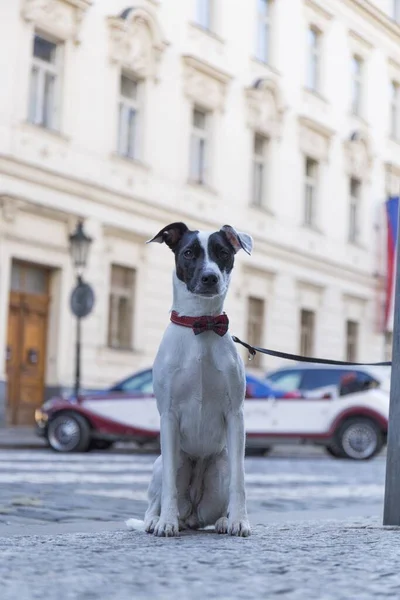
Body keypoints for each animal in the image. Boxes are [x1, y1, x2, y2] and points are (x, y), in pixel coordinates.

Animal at [141, 223, 252, 536]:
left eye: (223, 253)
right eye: (189, 253)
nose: (210, 277)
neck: (201, 325)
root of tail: (192, 513)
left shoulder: (235, 415)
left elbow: (240, 482)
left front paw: (239, 520)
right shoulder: (168, 416)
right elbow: (168, 487)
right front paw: (166, 522)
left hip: (221, 464)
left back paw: (223, 520)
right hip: (166, 461)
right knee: (155, 499)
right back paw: (157, 519)